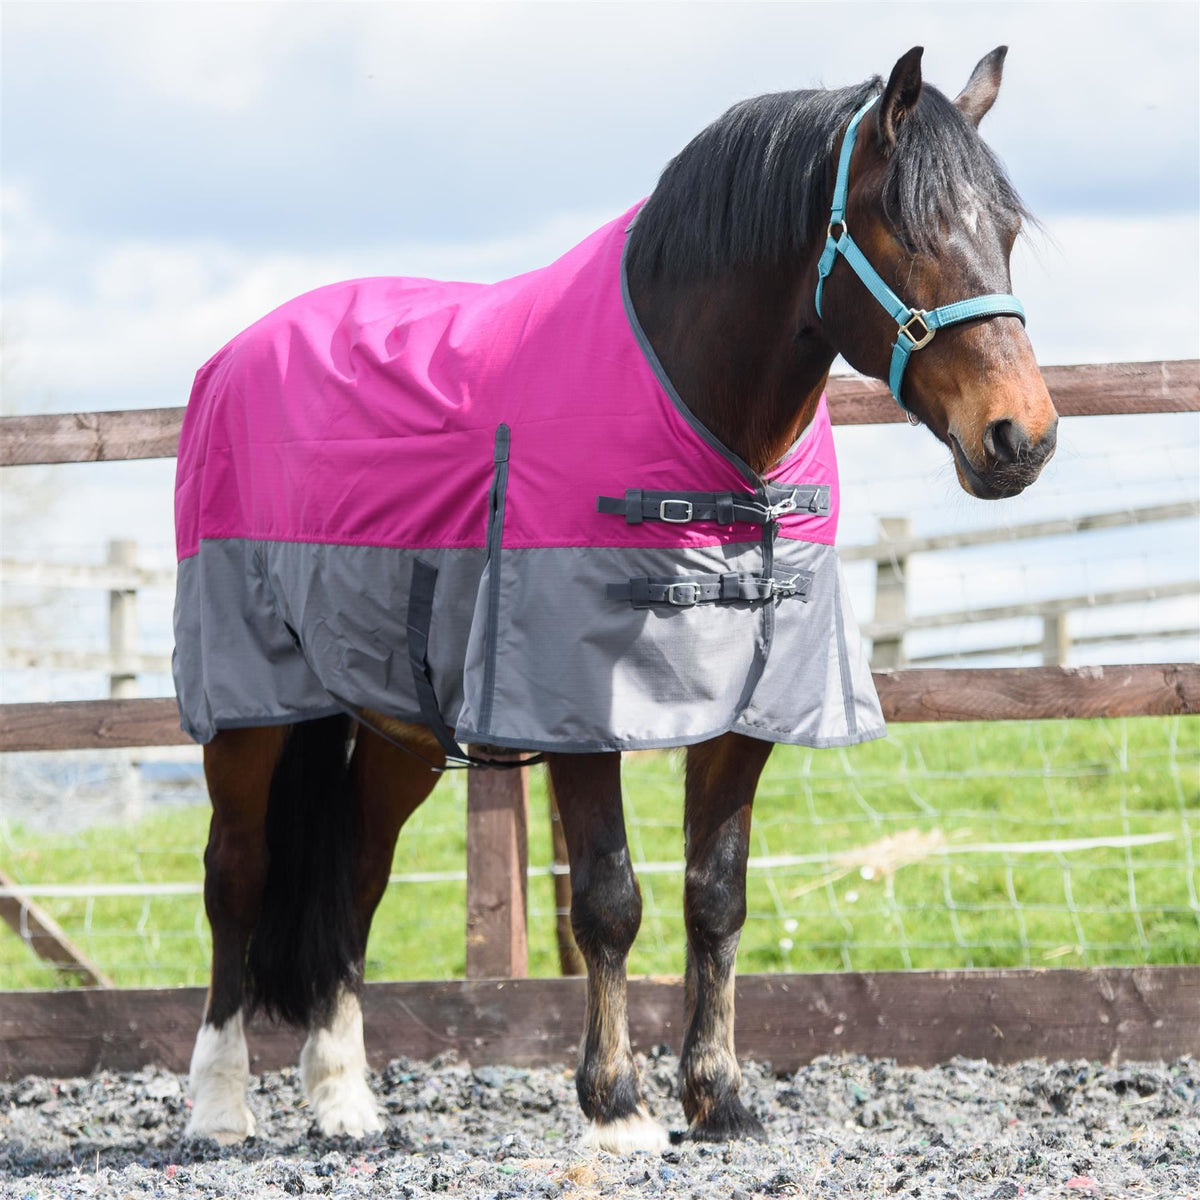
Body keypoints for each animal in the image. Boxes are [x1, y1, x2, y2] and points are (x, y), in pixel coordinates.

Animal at [177, 46, 1057, 1151]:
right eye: (905, 227)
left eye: (1006, 233)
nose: (1020, 436)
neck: (705, 429)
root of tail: (239, 356)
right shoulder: (573, 708)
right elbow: (607, 899)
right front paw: (615, 1106)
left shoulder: (748, 714)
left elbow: (716, 898)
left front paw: (719, 1096)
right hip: (249, 706)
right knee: (235, 873)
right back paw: (219, 1106)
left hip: (395, 722)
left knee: (356, 876)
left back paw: (344, 1100)